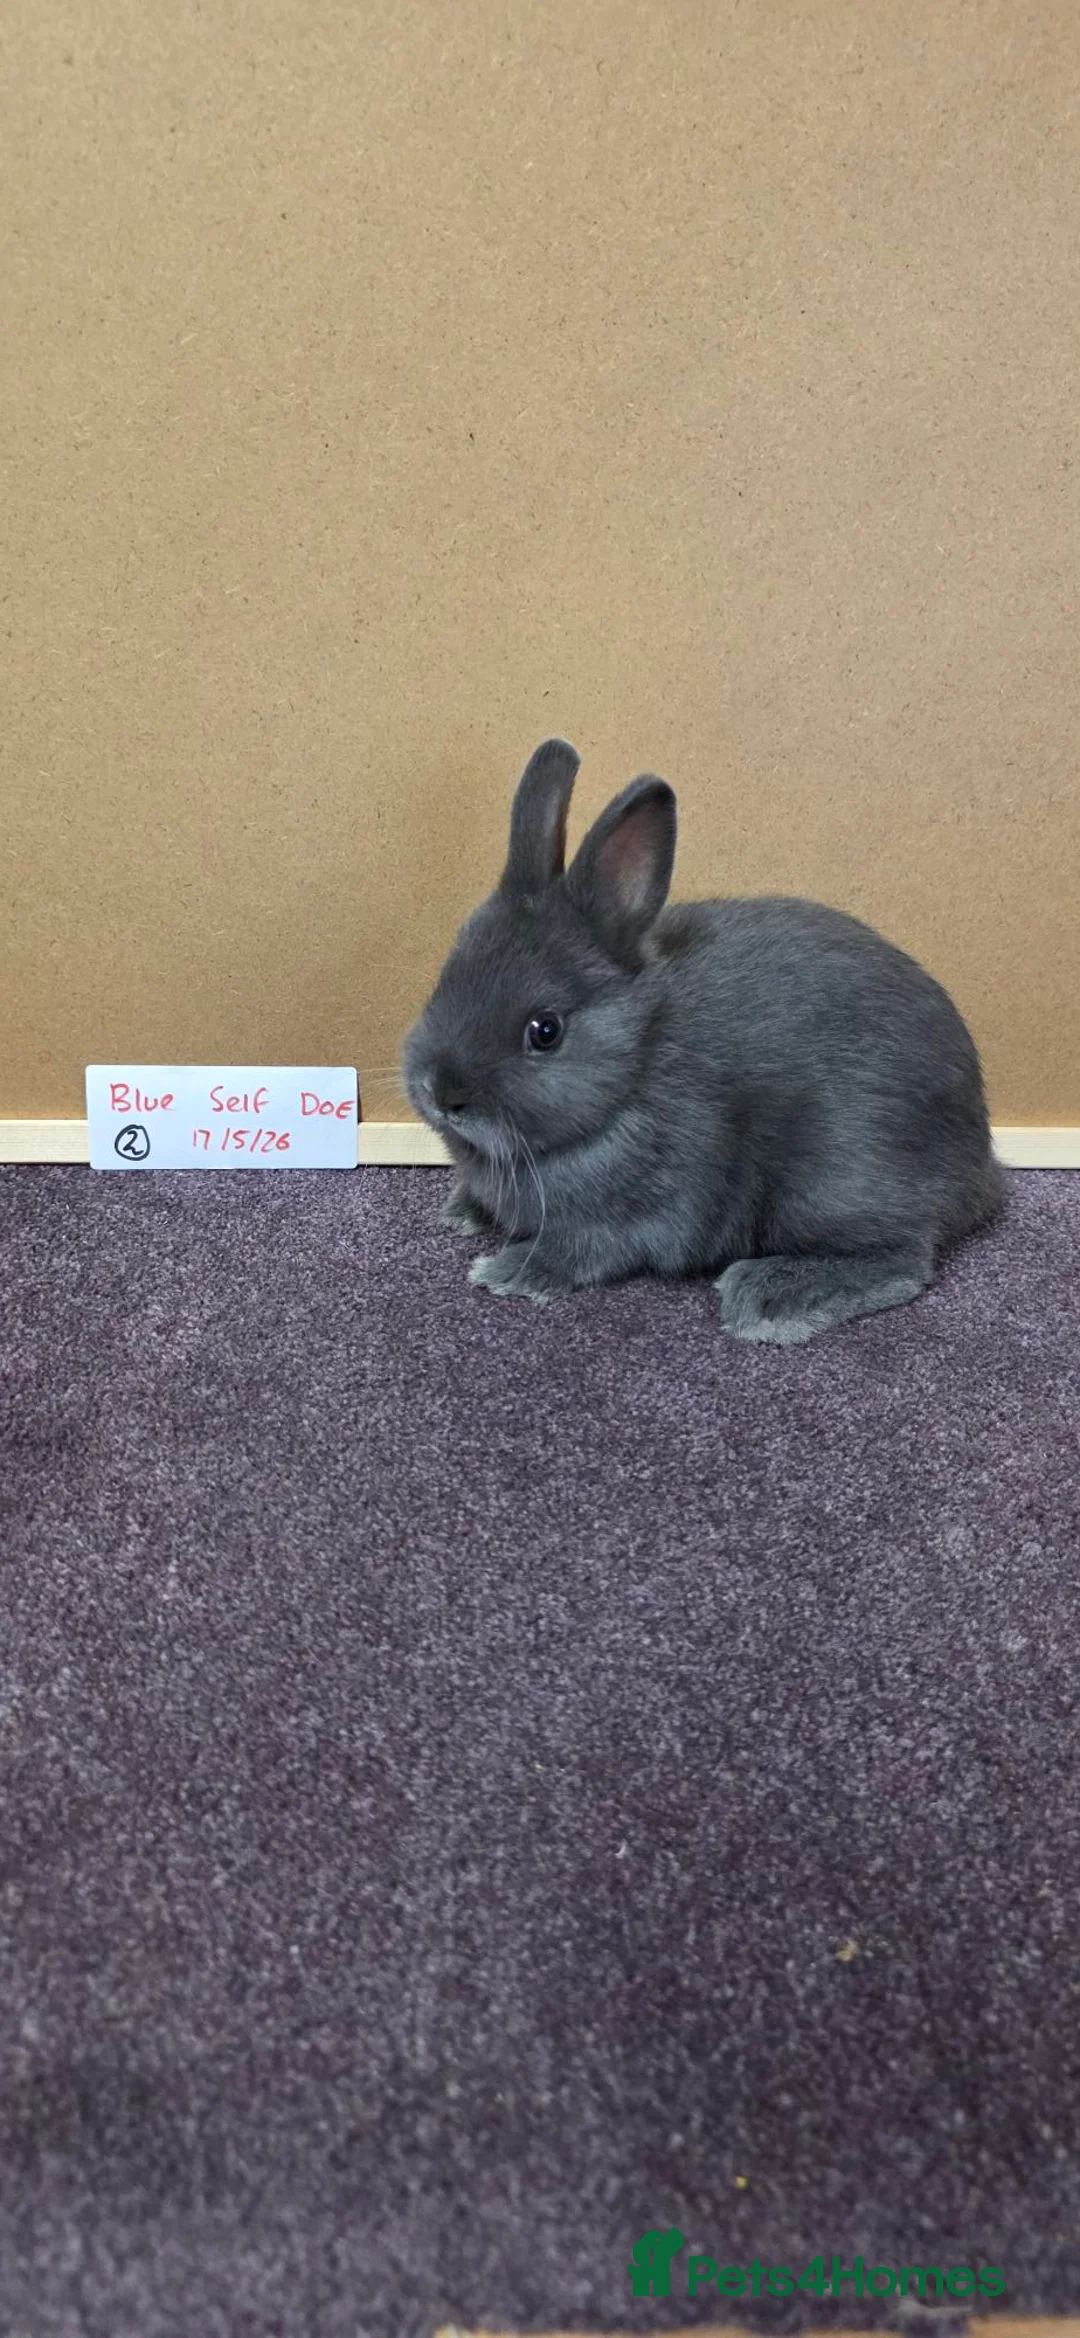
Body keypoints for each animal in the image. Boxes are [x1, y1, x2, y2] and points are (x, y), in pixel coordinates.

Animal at [401, 739, 1005, 1343]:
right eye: (445, 978)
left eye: (544, 1031)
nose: (440, 1093)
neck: (631, 1078)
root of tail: (979, 1170)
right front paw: (463, 1211)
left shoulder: (640, 1213)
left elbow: (580, 1248)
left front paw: (506, 1272)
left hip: (833, 1181)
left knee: (901, 1259)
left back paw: (768, 1295)